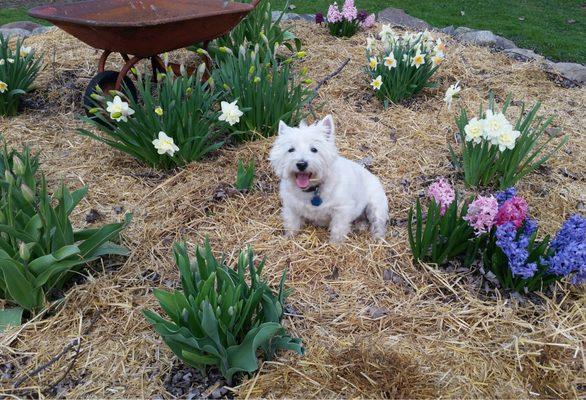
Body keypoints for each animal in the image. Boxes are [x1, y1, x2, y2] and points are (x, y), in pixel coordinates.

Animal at [270, 114, 388, 242]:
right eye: (291, 149)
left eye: (314, 149)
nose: (301, 164)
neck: (312, 190)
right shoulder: (291, 207)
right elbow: (291, 224)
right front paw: (288, 237)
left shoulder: (342, 210)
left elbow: (338, 229)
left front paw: (335, 244)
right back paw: (360, 225)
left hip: (376, 204)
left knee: (378, 223)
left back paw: (377, 238)